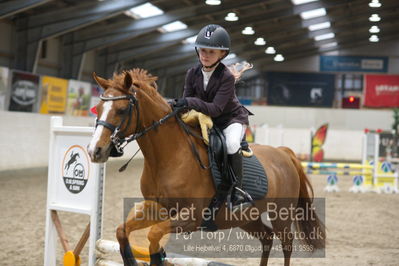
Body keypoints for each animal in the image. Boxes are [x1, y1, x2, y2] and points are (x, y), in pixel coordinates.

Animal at [87, 69, 324, 266]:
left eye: (121, 109)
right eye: (98, 108)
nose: (94, 151)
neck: (167, 156)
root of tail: (284, 153)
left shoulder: (192, 216)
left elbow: (154, 235)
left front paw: (157, 257)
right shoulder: (157, 208)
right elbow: (122, 230)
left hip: (281, 215)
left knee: (286, 243)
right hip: (246, 217)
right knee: (266, 237)